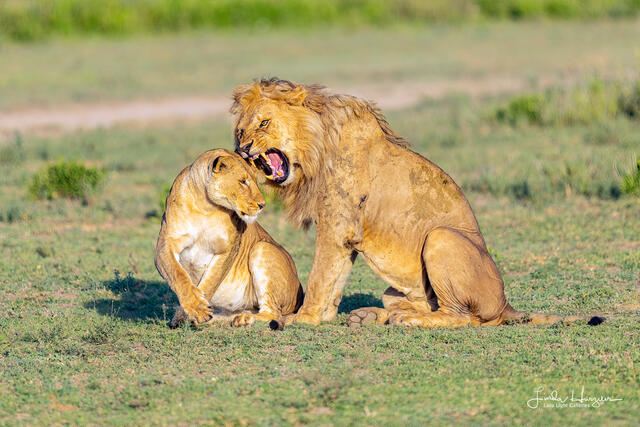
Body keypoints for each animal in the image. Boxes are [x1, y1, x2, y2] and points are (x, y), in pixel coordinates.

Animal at [155, 148, 303, 328]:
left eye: (254, 181)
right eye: (243, 181)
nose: (262, 205)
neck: (205, 206)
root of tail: (300, 294)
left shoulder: (227, 248)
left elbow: (210, 282)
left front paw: (197, 311)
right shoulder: (166, 244)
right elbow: (178, 275)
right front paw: (194, 310)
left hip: (262, 247)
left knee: (273, 313)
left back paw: (243, 319)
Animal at [230, 78, 604, 328]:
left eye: (264, 123)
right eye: (240, 131)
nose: (242, 150)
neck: (315, 151)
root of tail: (506, 304)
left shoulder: (337, 225)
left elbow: (321, 276)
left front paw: (302, 318)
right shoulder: (343, 232)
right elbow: (334, 279)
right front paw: (322, 317)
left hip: (440, 238)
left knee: (460, 317)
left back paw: (406, 322)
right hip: (396, 288)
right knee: (421, 306)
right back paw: (373, 315)